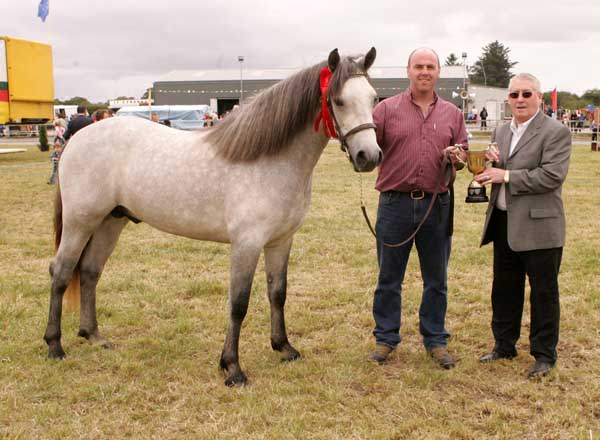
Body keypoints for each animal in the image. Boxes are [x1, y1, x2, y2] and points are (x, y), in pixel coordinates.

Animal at [44, 47, 380, 384]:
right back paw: (54, 346)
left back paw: (94, 336)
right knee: (61, 272)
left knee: (90, 272)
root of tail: (77, 139)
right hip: (80, 222)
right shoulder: (246, 244)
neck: (270, 161)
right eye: (338, 101)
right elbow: (239, 303)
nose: (369, 157)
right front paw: (232, 367)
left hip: (111, 222)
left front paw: (284, 347)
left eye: (374, 98)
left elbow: (277, 293)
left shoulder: (281, 241)